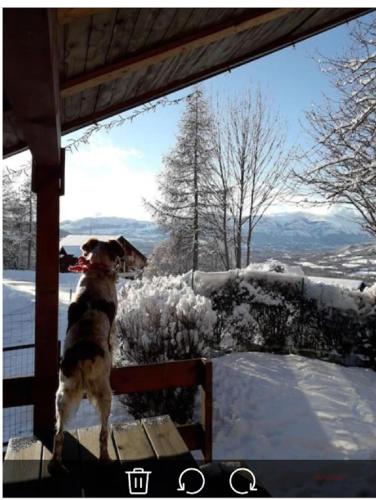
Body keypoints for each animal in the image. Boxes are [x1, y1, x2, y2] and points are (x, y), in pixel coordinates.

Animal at [50, 236, 125, 466]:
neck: (97, 269)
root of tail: (82, 357)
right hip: (105, 393)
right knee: (103, 432)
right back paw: (106, 457)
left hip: (63, 393)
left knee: (58, 434)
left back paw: (55, 461)